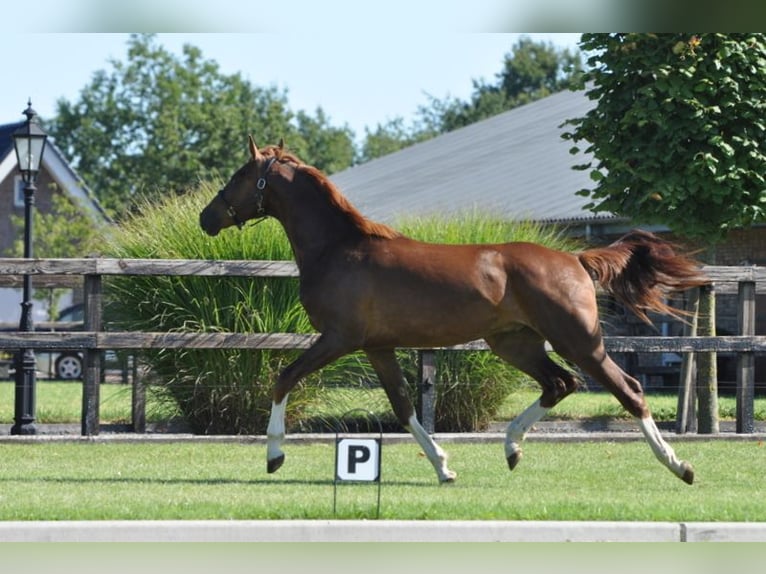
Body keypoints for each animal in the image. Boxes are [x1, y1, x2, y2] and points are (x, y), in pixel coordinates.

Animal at [201, 138, 712, 486]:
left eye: (239, 175)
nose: (208, 218)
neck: (339, 248)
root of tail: (575, 259)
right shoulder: (377, 347)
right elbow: (403, 406)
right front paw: (444, 467)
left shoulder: (338, 339)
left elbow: (284, 378)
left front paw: (274, 456)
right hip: (514, 343)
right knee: (559, 384)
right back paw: (511, 448)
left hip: (579, 342)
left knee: (629, 390)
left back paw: (679, 465)